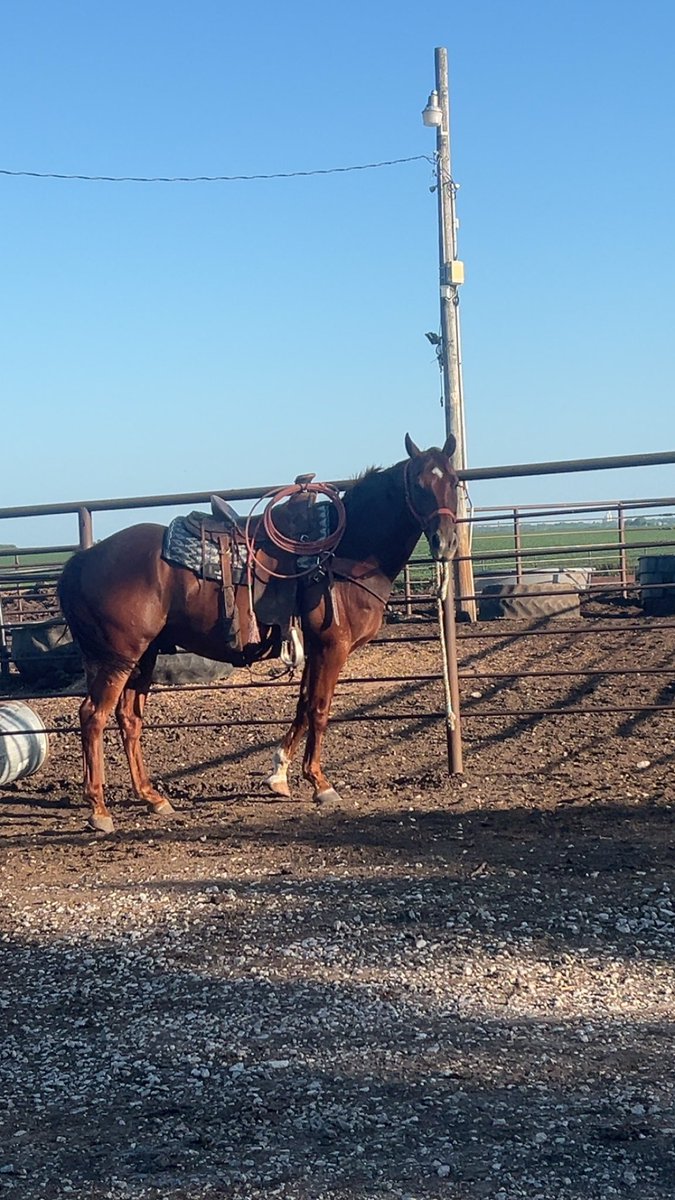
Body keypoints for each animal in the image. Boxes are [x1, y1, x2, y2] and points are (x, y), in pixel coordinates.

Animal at [58, 434, 459, 832]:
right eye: (419, 485)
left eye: (453, 482)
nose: (445, 542)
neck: (344, 553)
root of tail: (83, 560)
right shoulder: (332, 646)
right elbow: (320, 708)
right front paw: (320, 783)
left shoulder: (313, 647)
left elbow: (303, 706)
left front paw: (279, 774)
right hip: (119, 658)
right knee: (93, 716)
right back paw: (99, 810)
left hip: (143, 657)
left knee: (129, 719)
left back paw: (152, 797)